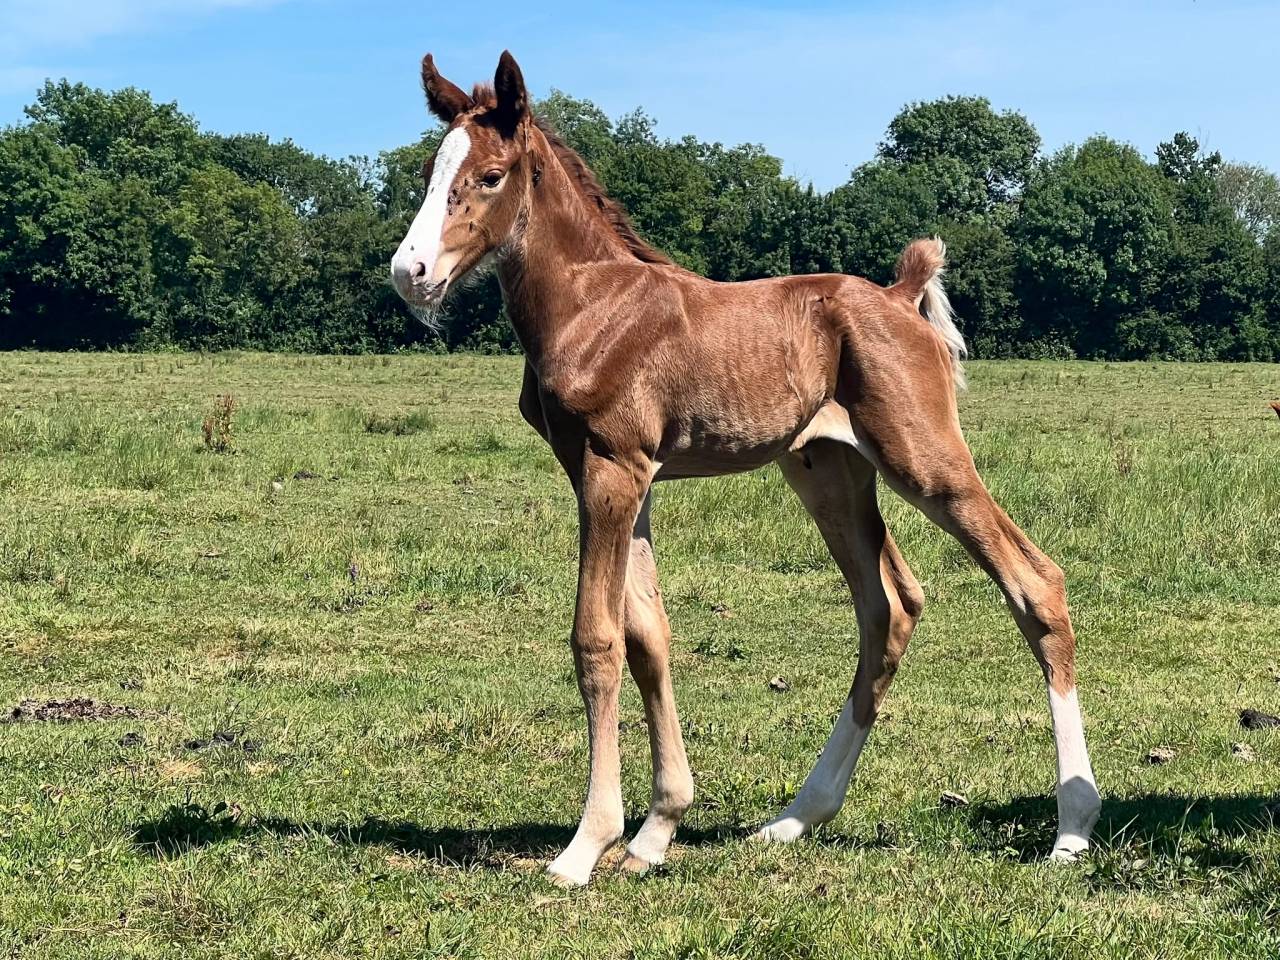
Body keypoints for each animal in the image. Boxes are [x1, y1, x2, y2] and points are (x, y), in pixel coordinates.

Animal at [390, 51, 1101, 888]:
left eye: (491, 175)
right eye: (430, 172)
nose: (410, 272)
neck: (593, 304)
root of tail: (900, 296)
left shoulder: (610, 468)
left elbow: (597, 639)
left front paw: (586, 844)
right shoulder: (631, 479)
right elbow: (649, 634)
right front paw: (656, 831)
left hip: (924, 458)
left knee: (1034, 583)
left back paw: (1072, 828)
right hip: (829, 471)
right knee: (889, 606)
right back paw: (796, 817)